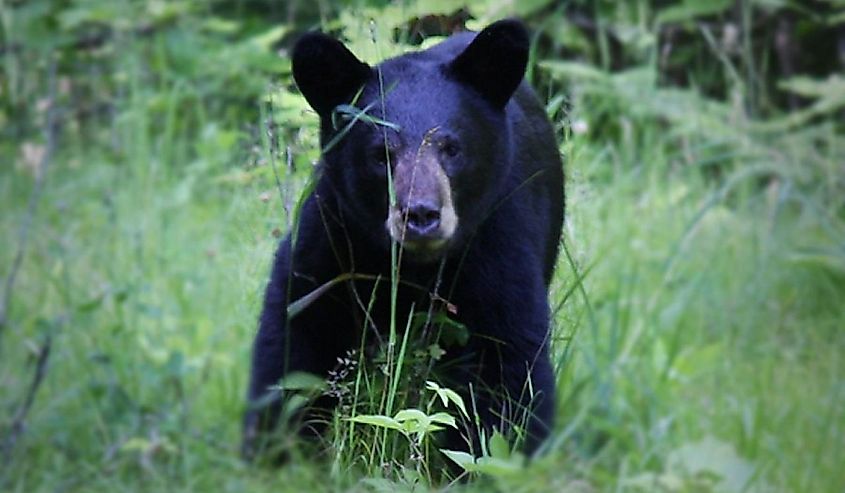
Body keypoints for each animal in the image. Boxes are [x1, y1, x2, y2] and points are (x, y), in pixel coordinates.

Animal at [241, 19, 564, 458]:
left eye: (451, 148)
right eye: (381, 154)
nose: (421, 214)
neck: (414, 266)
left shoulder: (497, 239)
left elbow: (507, 364)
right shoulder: (333, 236)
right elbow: (296, 338)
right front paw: (276, 449)